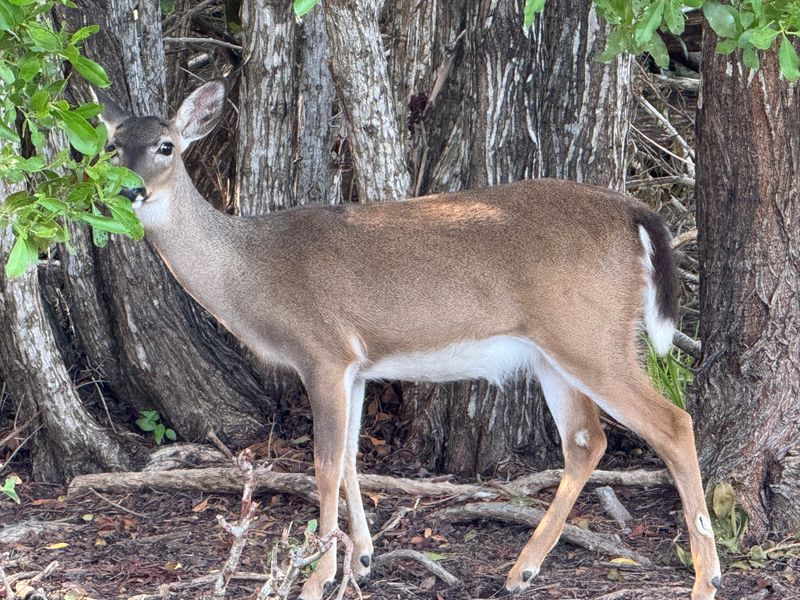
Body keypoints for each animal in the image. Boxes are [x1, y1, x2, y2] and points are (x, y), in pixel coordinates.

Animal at [92, 80, 721, 600]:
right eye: (110, 146)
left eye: (166, 146)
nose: (127, 192)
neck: (253, 273)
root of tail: (635, 211)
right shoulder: (356, 366)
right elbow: (349, 456)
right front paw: (362, 561)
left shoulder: (322, 351)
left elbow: (322, 463)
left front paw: (317, 578)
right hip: (555, 349)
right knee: (587, 439)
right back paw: (522, 571)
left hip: (591, 333)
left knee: (672, 422)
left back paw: (706, 579)